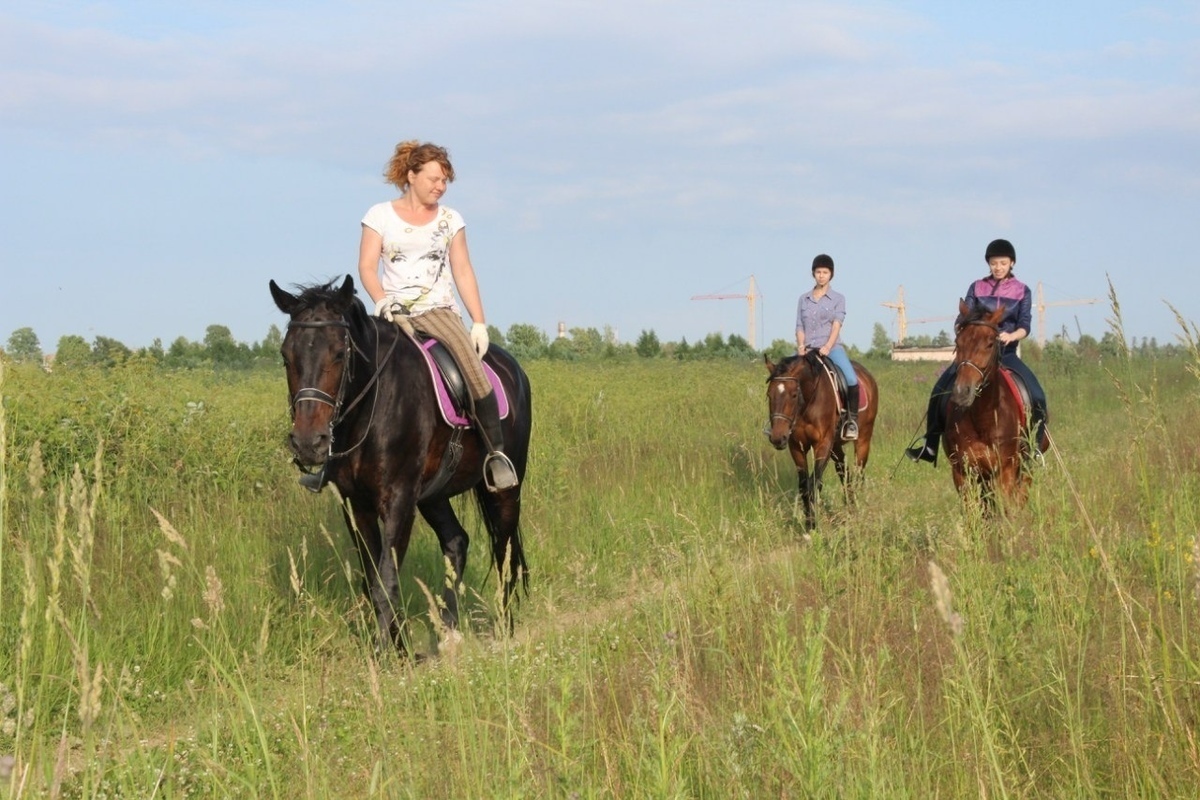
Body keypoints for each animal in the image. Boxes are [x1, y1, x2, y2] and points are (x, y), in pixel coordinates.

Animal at [267, 278, 530, 652]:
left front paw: (385, 652)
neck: (372, 407)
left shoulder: (399, 500)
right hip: (434, 494)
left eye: (339, 353)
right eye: (286, 356)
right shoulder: (356, 505)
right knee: (457, 541)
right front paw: (400, 644)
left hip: (505, 489)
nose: (308, 443)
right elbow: (373, 581)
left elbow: (386, 581)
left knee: (504, 551)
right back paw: (448, 630)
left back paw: (505, 631)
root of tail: (513, 369)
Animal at [763, 352, 878, 532]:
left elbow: (814, 483)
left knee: (859, 472)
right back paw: (850, 507)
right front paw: (808, 523)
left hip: (863, 440)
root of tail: (868, 376)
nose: (777, 437)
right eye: (769, 395)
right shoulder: (796, 446)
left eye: (793, 394)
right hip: (835, 446)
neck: (808, 403)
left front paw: (813, 526)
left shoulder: (823, 444)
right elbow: (804, 486)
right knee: (844, 472)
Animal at [940, 299, 1046, 513]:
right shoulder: (962, 472)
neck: (984, 418)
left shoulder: (1005, 470)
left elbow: (1005, 508)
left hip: (1025, 466)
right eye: (958, 342)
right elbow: (974, 512)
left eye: (990, 343)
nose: (962, 391)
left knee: (1021, 496)